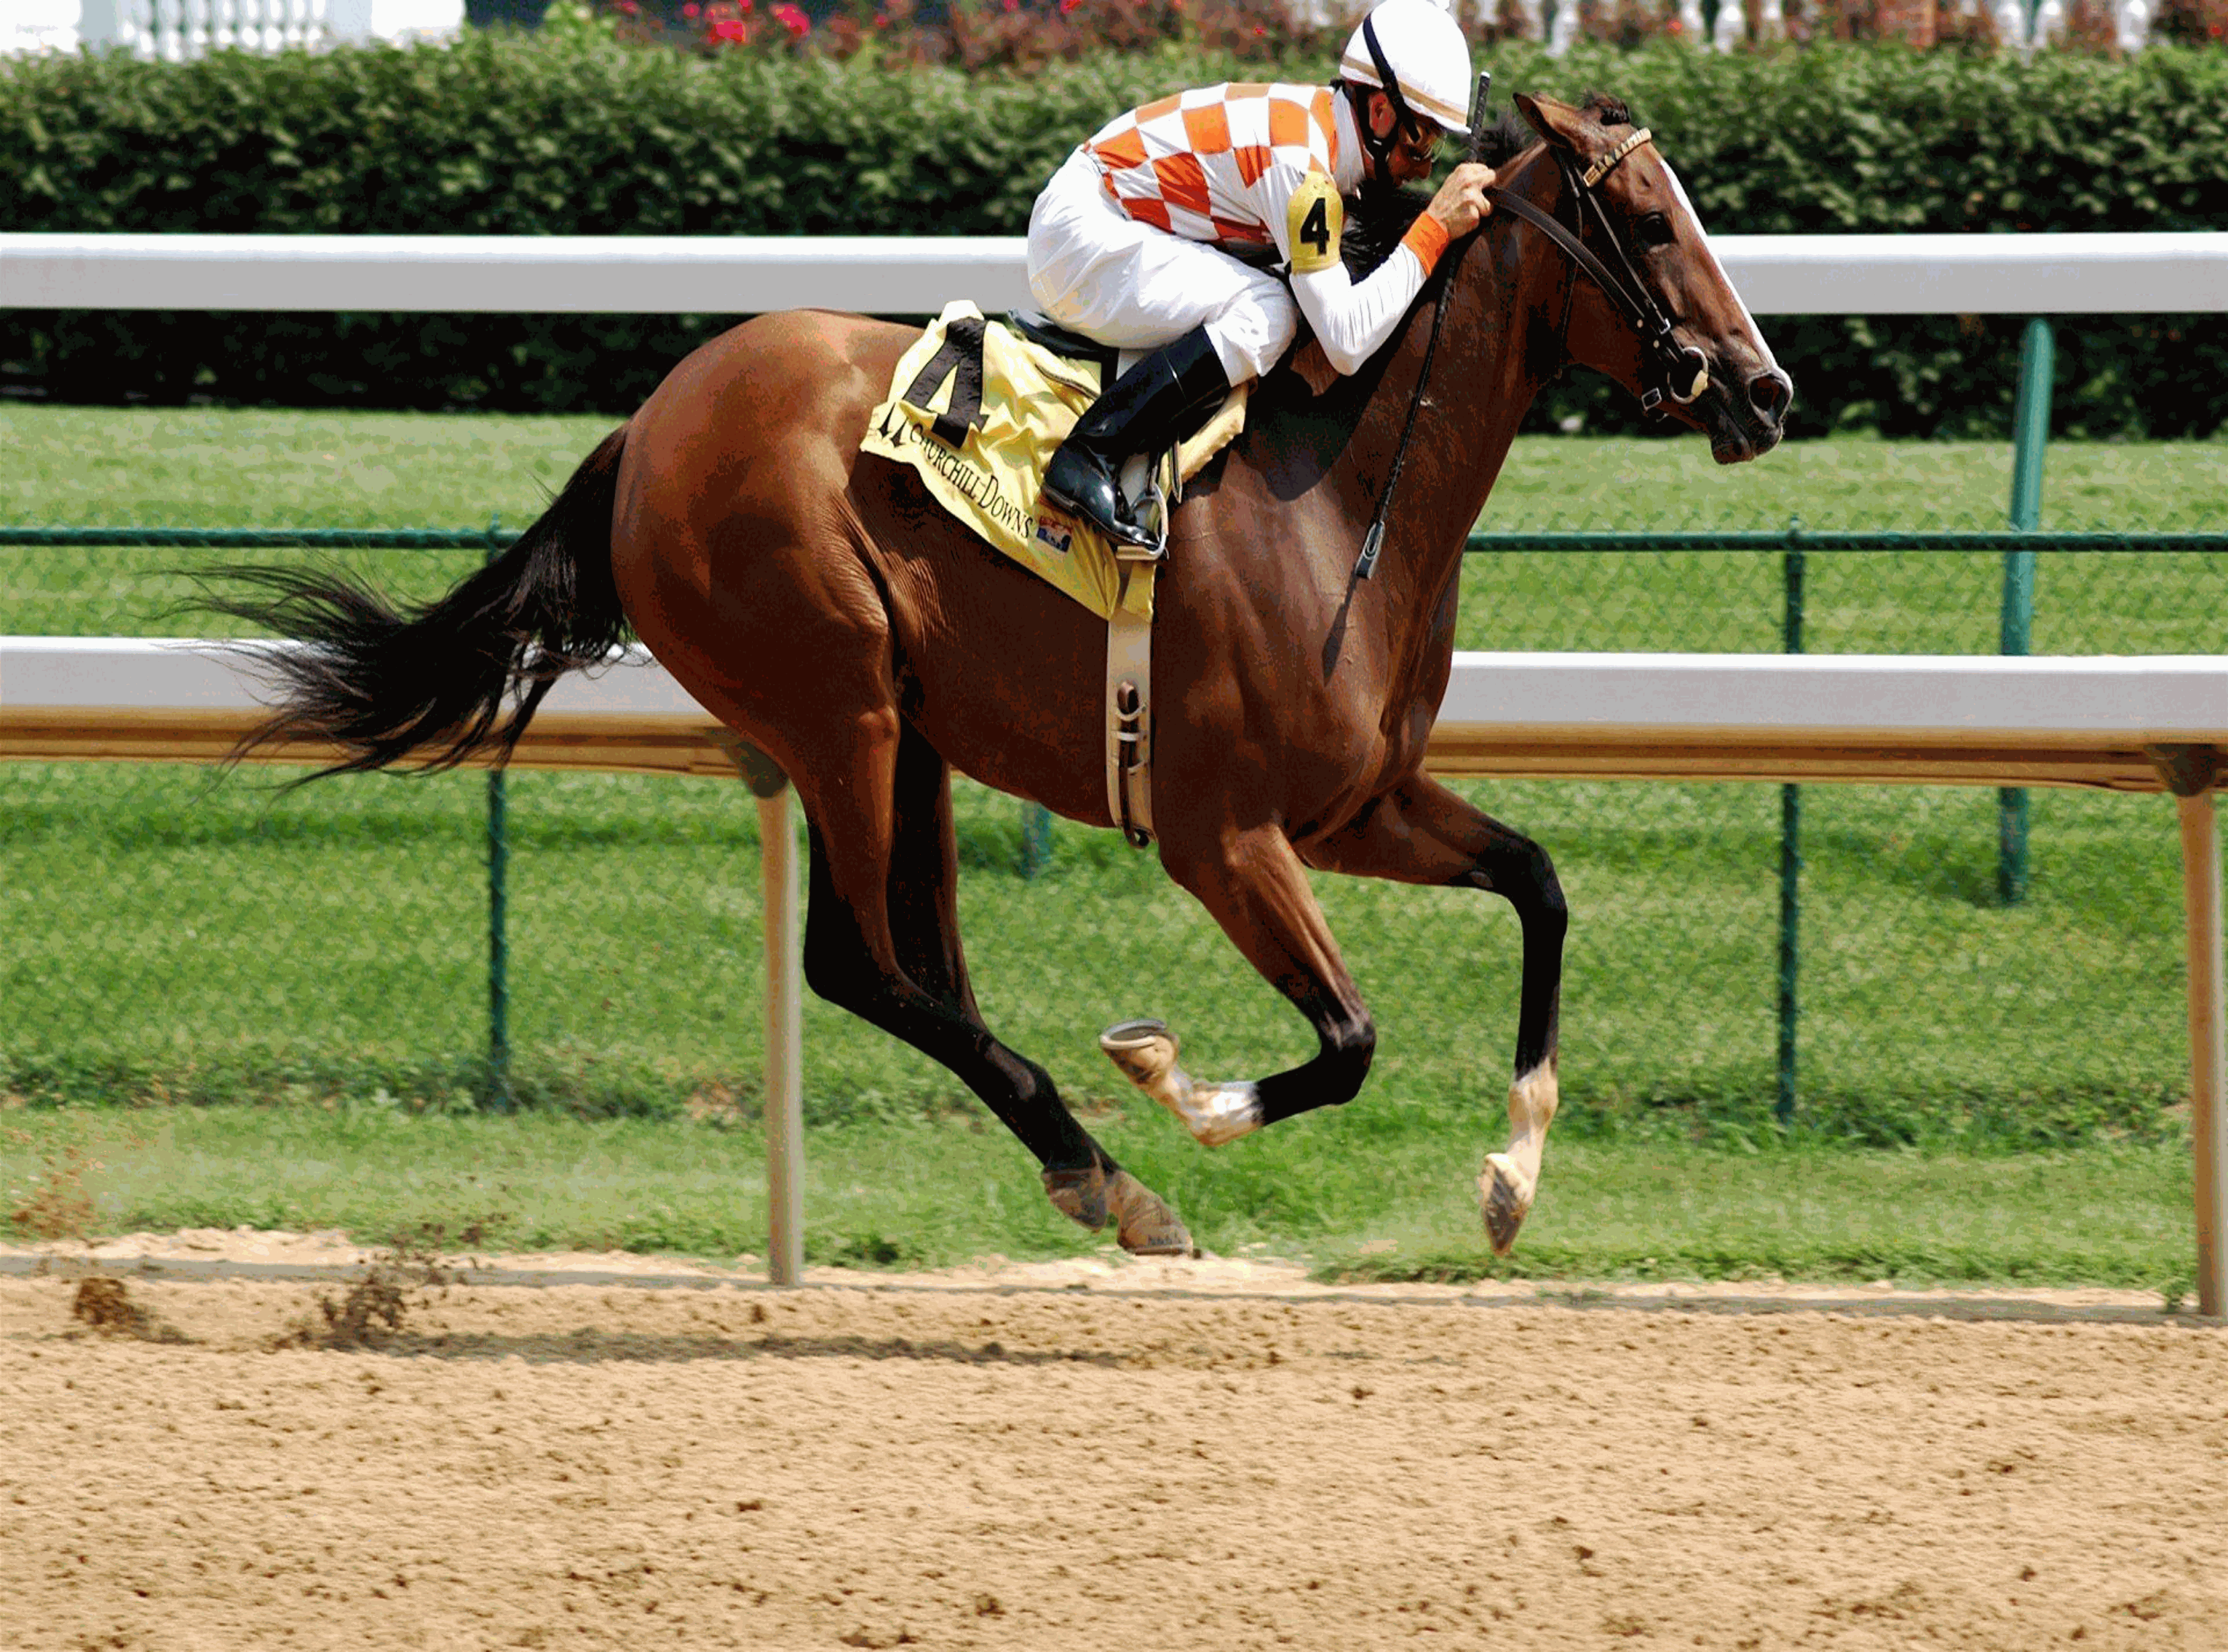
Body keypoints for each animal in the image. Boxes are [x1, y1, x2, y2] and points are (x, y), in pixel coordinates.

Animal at [217, 90, 1791, 1248]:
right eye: (1650, 218)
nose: (1766, 389)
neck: (1344, 491)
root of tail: (648, 423)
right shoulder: (1223, 834)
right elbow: (1348, 1038)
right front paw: (1174, 1082)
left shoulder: (1358, 805)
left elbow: (1539, 884)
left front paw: (1512, 1176)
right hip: (835, 696)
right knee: (859, 960)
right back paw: (1112, 1170)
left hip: (910, 732)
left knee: (926, 971)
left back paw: (1087, 1166)